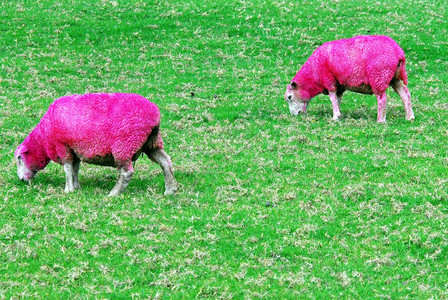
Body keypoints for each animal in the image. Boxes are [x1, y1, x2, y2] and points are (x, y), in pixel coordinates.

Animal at [12, 94, 177, 197]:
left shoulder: (63, 146)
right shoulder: (75, 149)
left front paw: (68, 189)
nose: (20, 179)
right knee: (165, 162)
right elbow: (75, 169)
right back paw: (170, 189)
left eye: (19, 158)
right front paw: (76, 187)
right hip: (152, 142)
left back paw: (113, 193)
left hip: (124, 145)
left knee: (127, 172)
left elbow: (67, 168)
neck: (44, 136)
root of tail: (155, 115)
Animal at [286, 35, 414, 123]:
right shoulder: (339, 85)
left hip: (379, 76)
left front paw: (335, 116)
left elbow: (332, 98)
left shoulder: (329, 81)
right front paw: (339, 114)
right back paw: (409, 117)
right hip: (394, 78)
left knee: (382, 99)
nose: (294, 115)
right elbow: (338, 99)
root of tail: (398, 52)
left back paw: (380, 120)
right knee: (405, 94)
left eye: (289, 97)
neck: (313, 73)